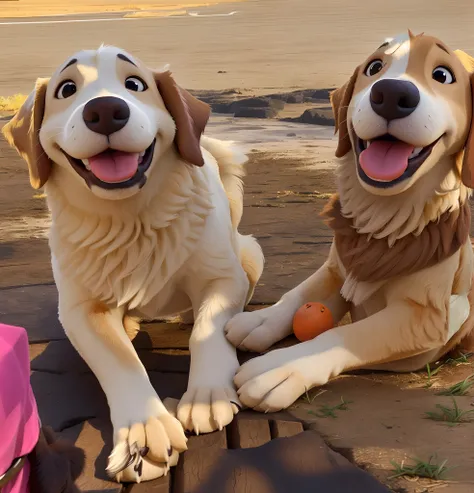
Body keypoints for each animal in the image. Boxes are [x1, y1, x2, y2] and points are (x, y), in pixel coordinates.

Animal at [2, 46, 262, 480]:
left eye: (135, 83)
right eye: (66, 89)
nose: (105, 110)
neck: (132, 219)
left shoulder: (223, 279)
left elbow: (207, 329)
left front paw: (206, 394)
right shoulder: (79, 311)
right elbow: (121, 360)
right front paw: (144, 428)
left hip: (250, 254)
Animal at [225, 30, 474, 412]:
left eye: (443, 75)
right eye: (374, 67)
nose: (392, 95)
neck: (384, 222)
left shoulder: (426, 319)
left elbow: (343, 334)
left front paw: (278, 370)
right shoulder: (336, 268)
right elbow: (298, 294)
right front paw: (260, 320)